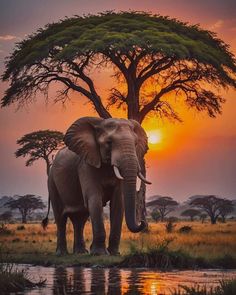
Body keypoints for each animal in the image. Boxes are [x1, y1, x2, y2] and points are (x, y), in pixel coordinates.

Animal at [42, 117, 150, 256]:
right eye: (109, 142)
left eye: (136, 143)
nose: (142, 222)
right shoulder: (85, 165)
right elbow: (94, 198)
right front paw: (100, 253)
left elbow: (118, 202)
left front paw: (113, 254)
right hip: (52, 183)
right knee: (61, 218)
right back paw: (62, 254)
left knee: (80, 219)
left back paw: (81, 253)